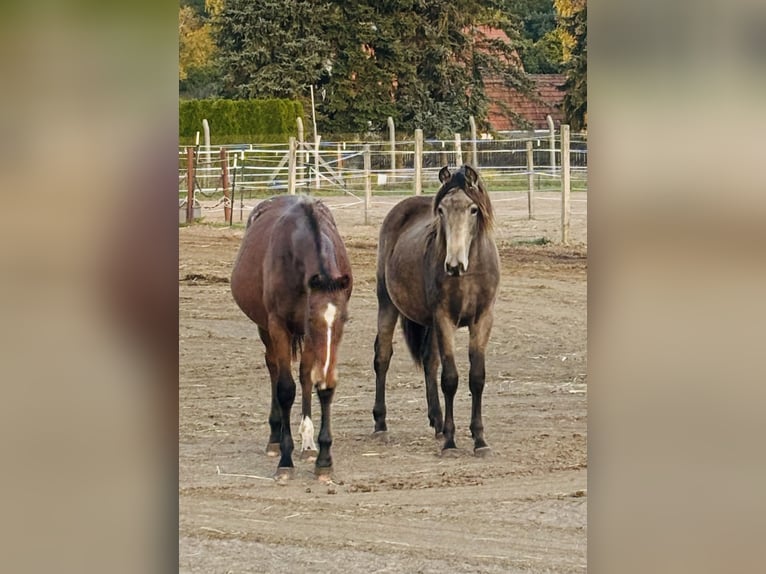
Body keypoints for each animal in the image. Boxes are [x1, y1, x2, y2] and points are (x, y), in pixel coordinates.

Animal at [231, 196, 354, 480]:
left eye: (344, 320)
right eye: (312, 319)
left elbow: (317, 383)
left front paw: (323, 458)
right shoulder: (280, 325)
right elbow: (285, 389)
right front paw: (285, 461)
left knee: (305, 375)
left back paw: (307, 443)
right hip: (266, 329)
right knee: (274, 368)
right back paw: (275, 438)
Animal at [374, 166, 504, 460]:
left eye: (473, 209)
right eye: (442, 210)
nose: (454, 265)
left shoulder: (483, 319)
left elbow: (476, 377)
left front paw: (479, 439)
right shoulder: (444, 318)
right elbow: (450, 379)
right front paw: (451, 442)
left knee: (429, 361)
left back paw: (437, 421)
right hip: (387, 303)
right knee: (382, 357)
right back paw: (380, 424)